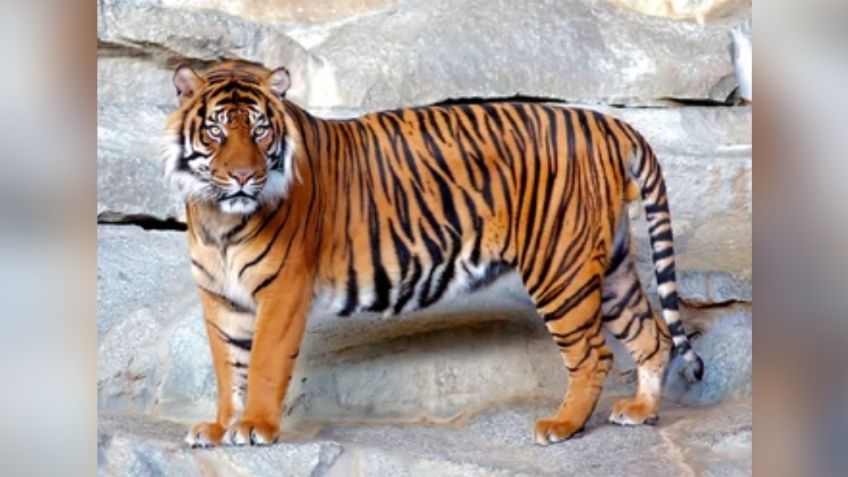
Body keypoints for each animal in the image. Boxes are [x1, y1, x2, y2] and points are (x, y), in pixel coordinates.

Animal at [162, 60, 704, 448]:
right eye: (216, 131)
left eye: (260, 131)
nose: (243, 176)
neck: (221, 219)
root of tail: (609, 123)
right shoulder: (221, 298)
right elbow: (228, 367)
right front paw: (220, 427)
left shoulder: (283, 292)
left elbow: (263, 365)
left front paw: (255, 427)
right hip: (609, 267)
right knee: (653, 336)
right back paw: (640, 412)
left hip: (560, 269)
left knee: (593, 354)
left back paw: (563, 425)